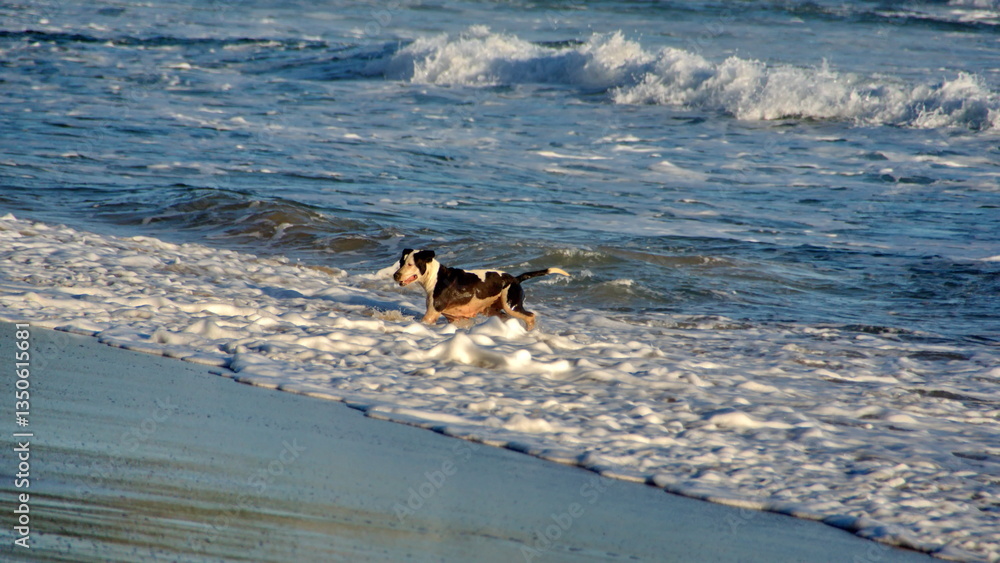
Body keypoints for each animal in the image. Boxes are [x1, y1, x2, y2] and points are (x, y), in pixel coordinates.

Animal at [392, 249, 569, 330]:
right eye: (401, 262)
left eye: (410, 264)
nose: (395, 275)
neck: (435, 277)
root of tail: (515, 279)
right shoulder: (455, 319)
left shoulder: (430, 315)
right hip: (492, 310)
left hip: (511, 305)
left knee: (530, 316)